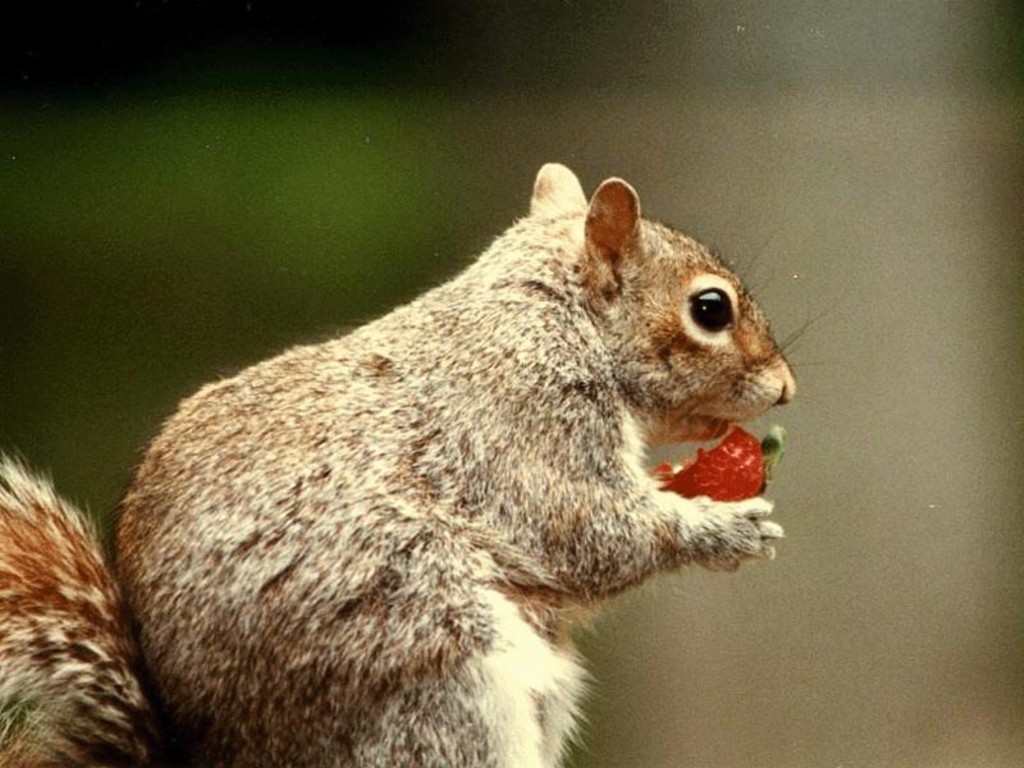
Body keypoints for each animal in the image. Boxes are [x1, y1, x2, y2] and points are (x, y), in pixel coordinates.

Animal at [0, 163, 790, 768]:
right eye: (710, 309)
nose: (786, 387)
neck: (554, 318)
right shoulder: (521, 430)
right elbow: (590, 536)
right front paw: (725, 529)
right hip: (438, 680)